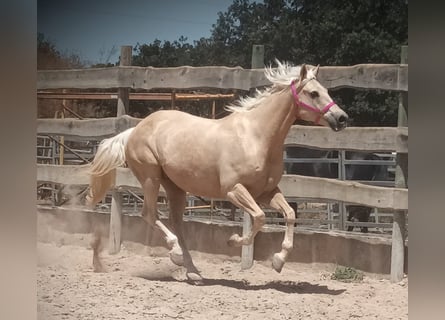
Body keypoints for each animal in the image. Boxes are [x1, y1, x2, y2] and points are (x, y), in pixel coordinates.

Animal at [86, 61, 346, 282]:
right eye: (313, 93)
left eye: (326, 90)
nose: (342, 118)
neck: (257, 137)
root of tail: (134, 130)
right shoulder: (234, 191)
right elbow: (259, 218)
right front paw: (233, 241)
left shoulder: (267, 192)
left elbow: (290, 215)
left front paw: (278, 261)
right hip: (151, 177)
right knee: (150, 215)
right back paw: (176, 254)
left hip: (175, 187)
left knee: (176, 222)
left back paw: (193, 271)